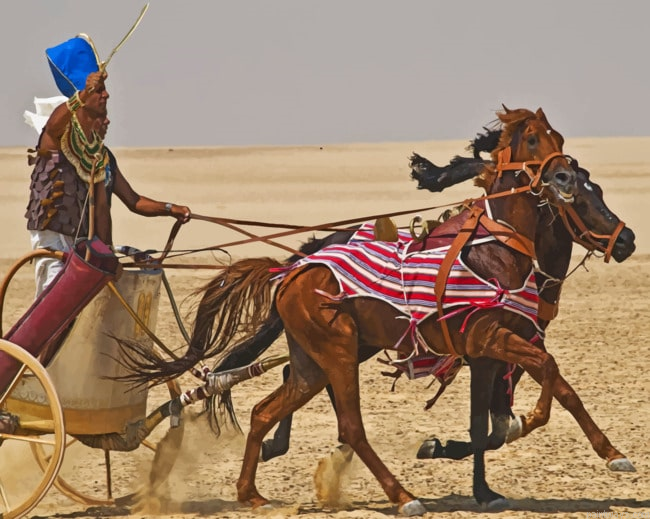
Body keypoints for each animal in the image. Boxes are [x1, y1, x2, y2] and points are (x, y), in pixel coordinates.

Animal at [120, 106, 603, 513]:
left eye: (557, 136)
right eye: (533, 139)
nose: (564, 177)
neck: (496, 250)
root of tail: (292, 272)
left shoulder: (500, 344)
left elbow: (543, 386)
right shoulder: (489, 339)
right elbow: (539, 380)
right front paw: (570, 438)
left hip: (317, 360)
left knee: (265, 410)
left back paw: (252, 493)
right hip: (336, 350)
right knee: (349, 426)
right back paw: (402, 496)